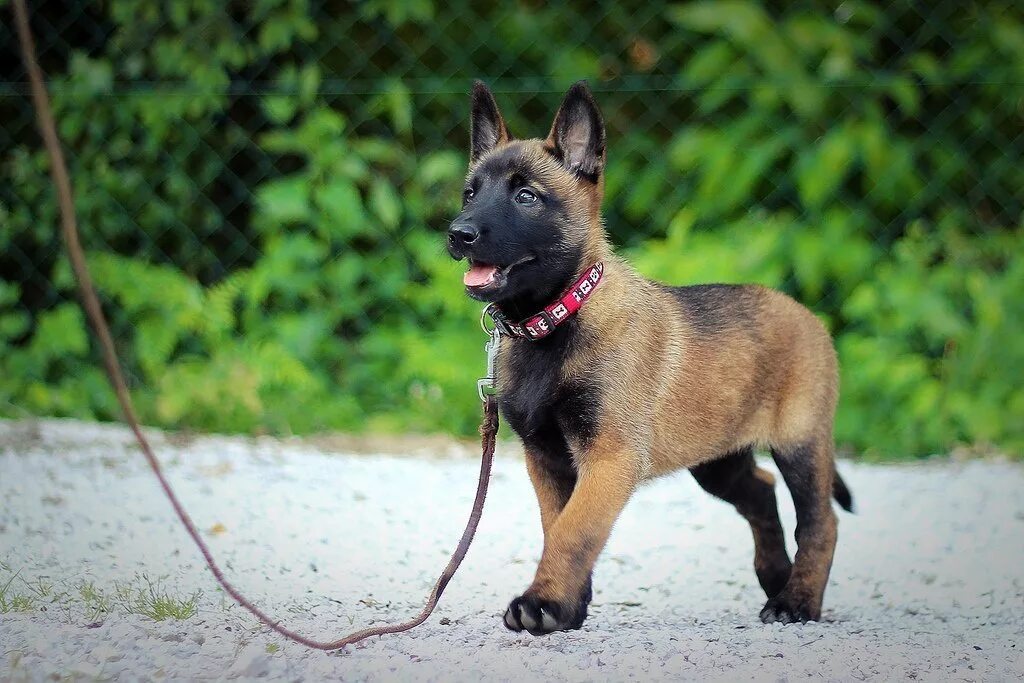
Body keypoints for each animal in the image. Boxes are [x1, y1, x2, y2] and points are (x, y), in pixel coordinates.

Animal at [448, 81, 856, 634]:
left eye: (525, 196)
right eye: (471, 192)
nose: (458, 233)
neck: (556, 319)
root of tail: (807, 315)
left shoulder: (610, 456)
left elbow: (574, 530)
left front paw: (543, 602)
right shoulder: (546, 457)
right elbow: (558, 524)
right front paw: (568, 607)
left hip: (800, 442)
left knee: (819, 521)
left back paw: (797, 601)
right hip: (717, 459)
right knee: (760, 491)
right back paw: (776, 575)